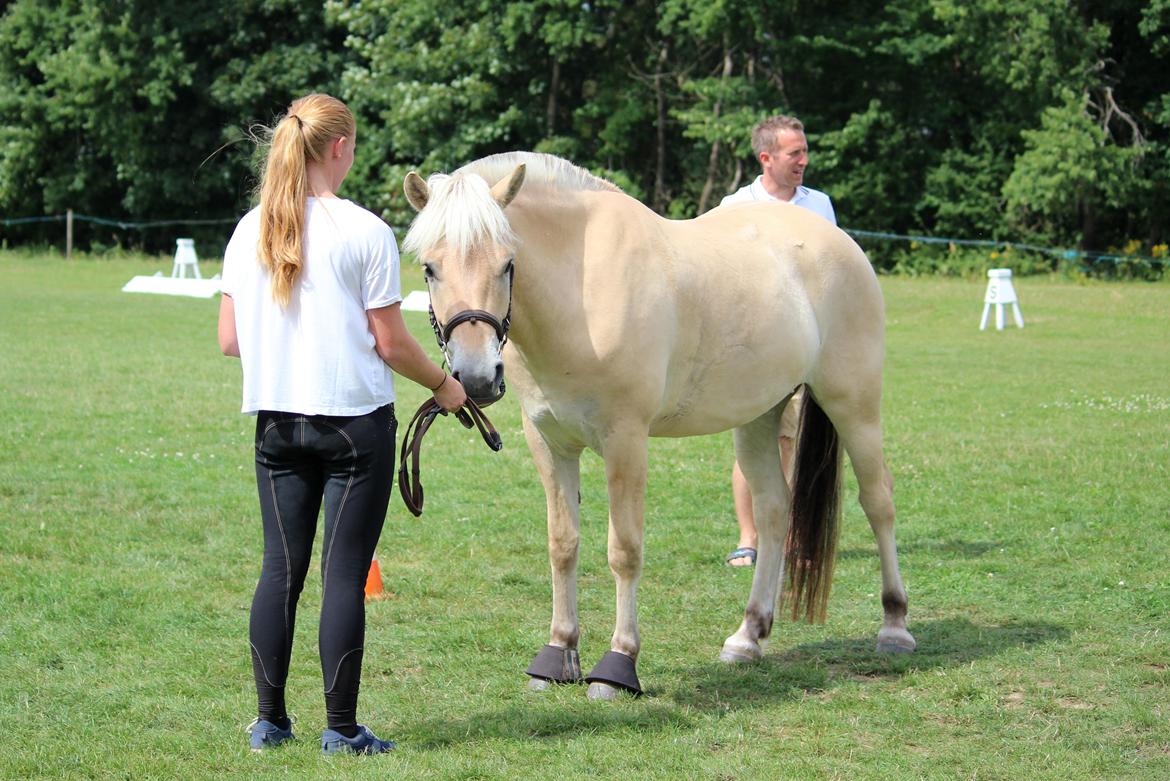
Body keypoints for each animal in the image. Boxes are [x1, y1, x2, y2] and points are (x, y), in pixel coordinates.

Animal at [402, 151, 912, 701]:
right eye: (430, 267)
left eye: (507, 264)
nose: (475, 378)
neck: (581, 293)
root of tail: (840, 243)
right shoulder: (549, 441)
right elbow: (562, 545)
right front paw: (557, 654)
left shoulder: (625, 439)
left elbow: (624, 550)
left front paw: (617, 664)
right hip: (759, 417)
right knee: (775, 511)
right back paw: (748, 636)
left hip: (853, 404)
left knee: (878, 501)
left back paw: (895, 626)